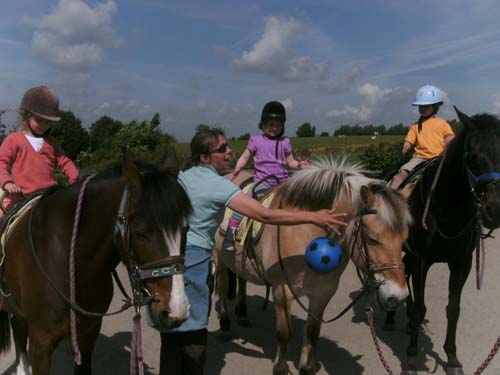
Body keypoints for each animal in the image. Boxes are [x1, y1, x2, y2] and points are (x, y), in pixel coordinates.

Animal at [213, 159, 412, 375]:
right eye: (373, 239)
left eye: (404, 239)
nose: (398, 296)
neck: (305, 234)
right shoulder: (282, 290)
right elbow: (284, 333)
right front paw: (280, 368)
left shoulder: (323, 292)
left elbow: (312, 330)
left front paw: (307, 367)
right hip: (219, 259)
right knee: (222, 287)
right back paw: (225, 323)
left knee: (241, 279)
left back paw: (242, 313)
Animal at [386, 107, 500, 374]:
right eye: (472, 156)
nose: (494, 210)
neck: (447, 209)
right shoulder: (422, 260)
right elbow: (421, 308)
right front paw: (412, 357)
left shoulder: (462, 262)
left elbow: (453, 309)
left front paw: (452, 358)